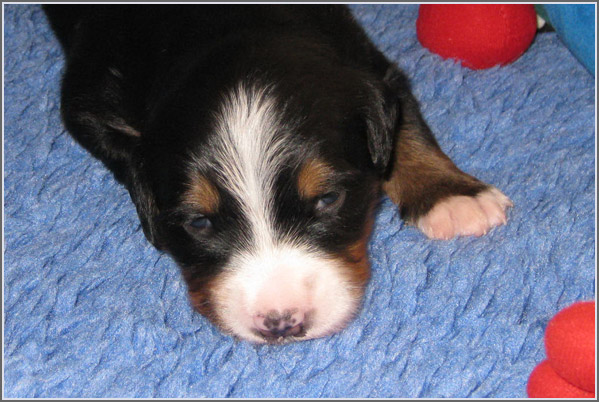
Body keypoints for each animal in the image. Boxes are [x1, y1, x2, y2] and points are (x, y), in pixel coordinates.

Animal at [43, 5, 512, 344]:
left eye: (327, 199)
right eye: (198, 222)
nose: (282, 323)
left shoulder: (372, 68)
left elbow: (405, 131)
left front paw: (452, 195)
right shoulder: (87, 103)